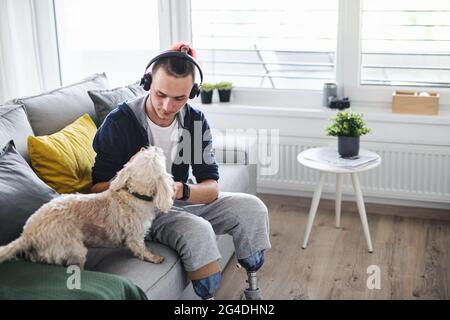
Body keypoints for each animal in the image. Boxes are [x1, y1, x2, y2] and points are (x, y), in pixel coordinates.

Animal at [0, 146, 174, 268]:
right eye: (157, 156)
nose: (154, 147)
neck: (133, 194)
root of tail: (28, 234)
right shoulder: (135, 237)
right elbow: (141, 249)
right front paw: (153, 257)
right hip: (75, 250)